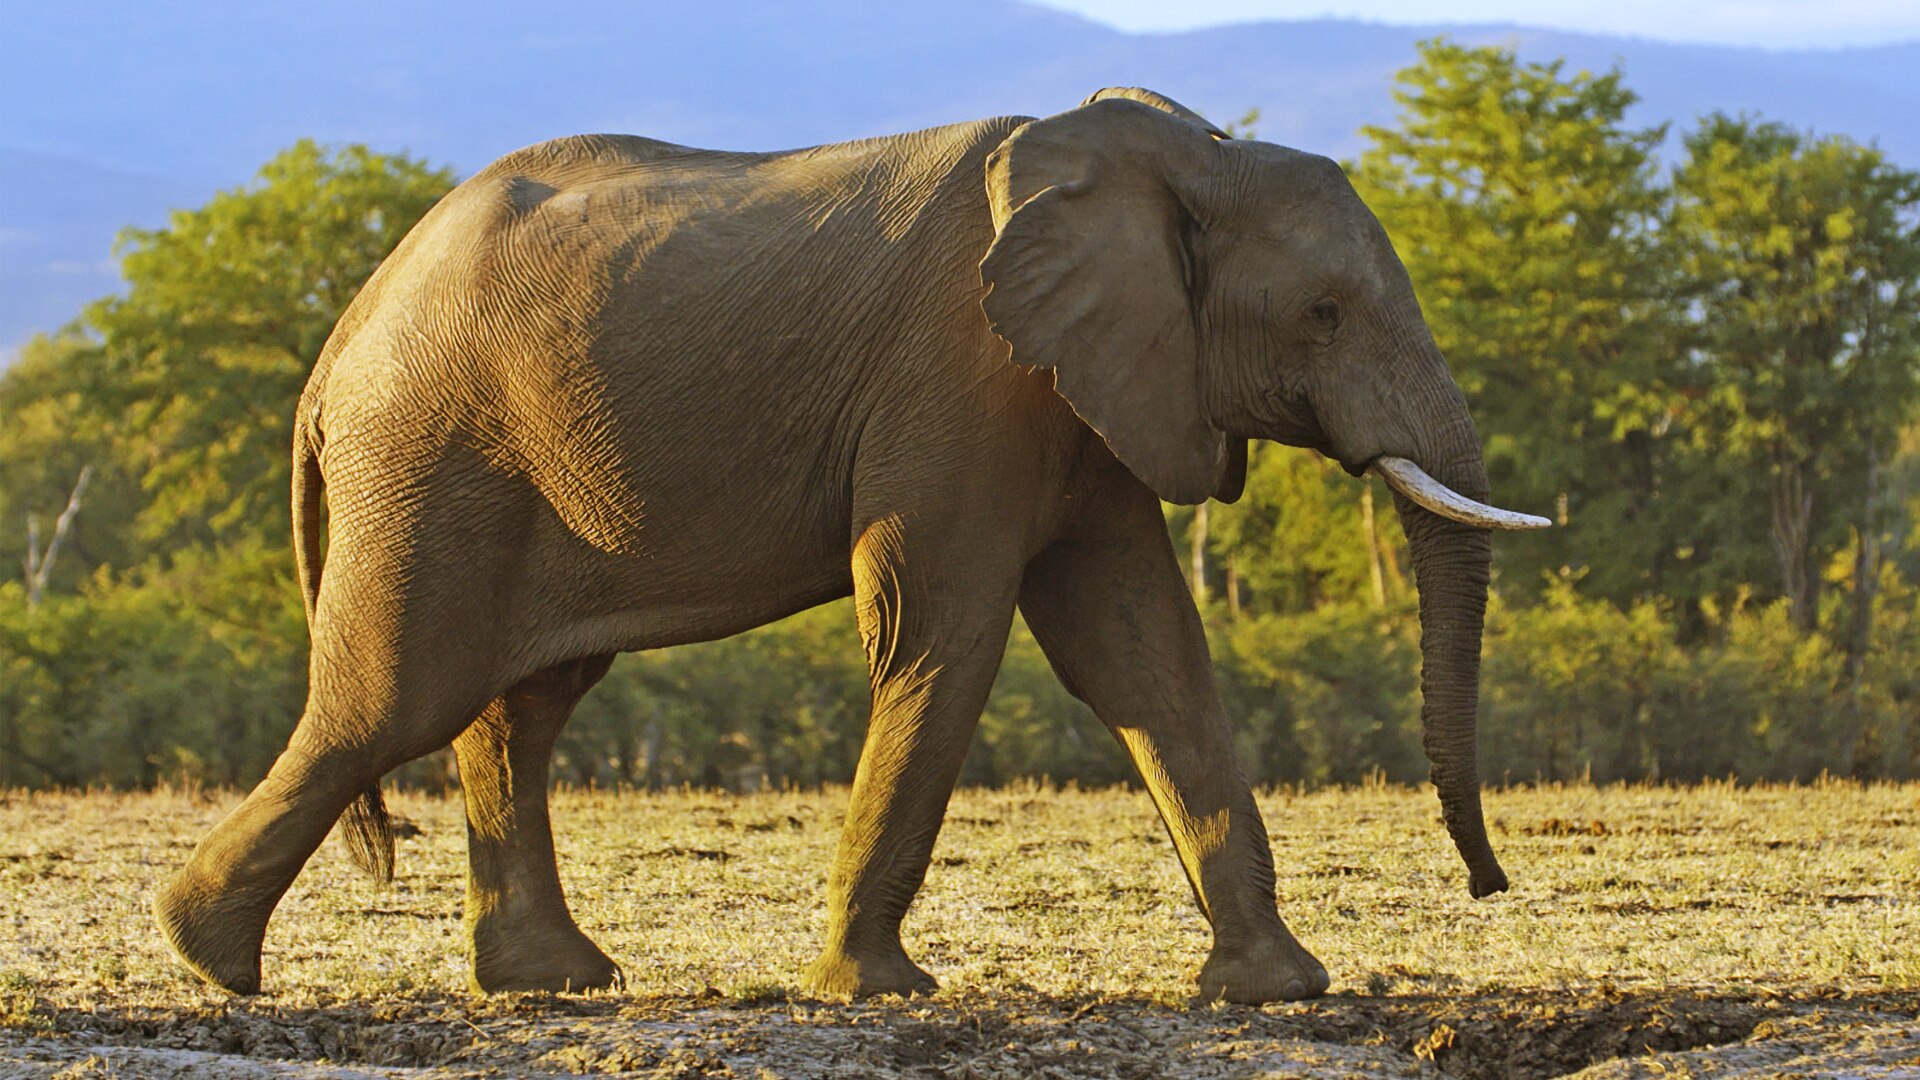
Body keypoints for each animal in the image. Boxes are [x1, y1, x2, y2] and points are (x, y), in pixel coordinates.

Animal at [155, 87, 1547, 1004]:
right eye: (1324, 314)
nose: (1491, 888)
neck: (1177, 156)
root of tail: (341, 337)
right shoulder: (965, 379)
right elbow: (944, 630)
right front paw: (875, 993)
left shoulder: (1086, 392)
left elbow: (1142, 649)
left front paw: (1279, 989)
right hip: (433, 456)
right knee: (395, 697)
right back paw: (209, 959)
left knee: (519, 707)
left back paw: (557, 983)